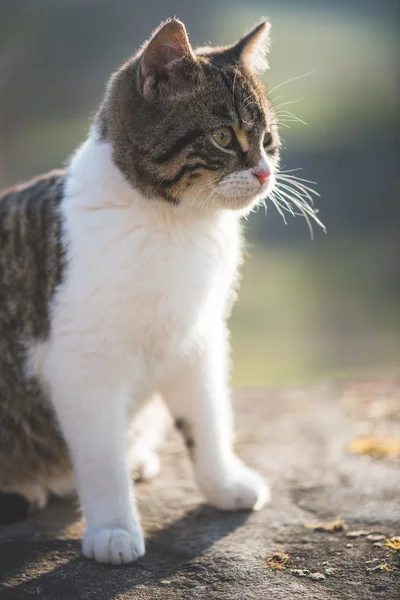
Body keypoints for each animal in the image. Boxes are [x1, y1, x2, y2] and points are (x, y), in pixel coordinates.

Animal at [0, 18, 282, 564]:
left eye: (268, 140)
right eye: (223, 136)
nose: (264, 171)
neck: (178, 227)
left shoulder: (199, 338)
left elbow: (207, 420)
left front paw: (224, 485)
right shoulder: (83, 362)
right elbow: (100, 458)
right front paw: (113, 528)